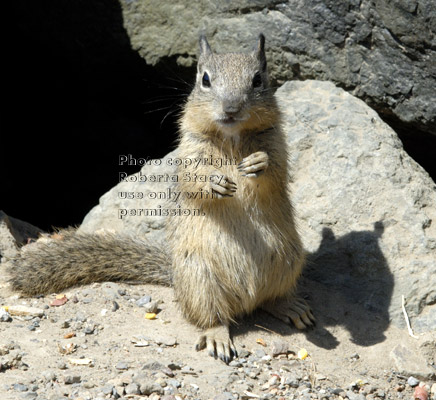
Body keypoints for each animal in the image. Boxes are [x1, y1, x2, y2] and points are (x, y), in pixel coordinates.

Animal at [7, 36, 314, 364]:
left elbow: (277, 169)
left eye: (257, 80)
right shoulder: (189, 150)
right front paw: (215, 182)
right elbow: (192, 179)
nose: (231, 108)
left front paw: (258, 163)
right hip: (200, 277)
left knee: (270, 298)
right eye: (205, 80)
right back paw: (218, 336)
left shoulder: (277, 143)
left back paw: (290, 307)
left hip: (290, 259)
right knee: (213, 317)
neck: (232, 135)